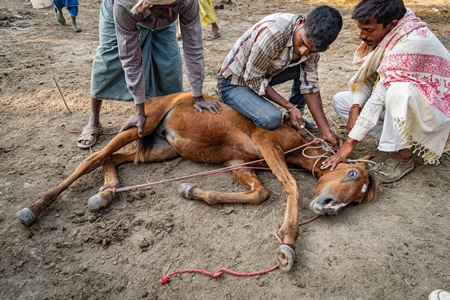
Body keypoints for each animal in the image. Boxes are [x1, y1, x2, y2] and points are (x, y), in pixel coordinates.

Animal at [16, 91, 380, 272]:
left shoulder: (238, 163)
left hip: (161, 150)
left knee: (115, 160)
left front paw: (192, 190)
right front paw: (288, 242)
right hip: (139, 127)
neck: (291, 138)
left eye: (359, 197)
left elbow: (260, 193)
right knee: (93, 159)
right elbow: (289, 185)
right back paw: (35, 207)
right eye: (351, 173)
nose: (329, 208)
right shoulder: (265, 141)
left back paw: (105, 194)